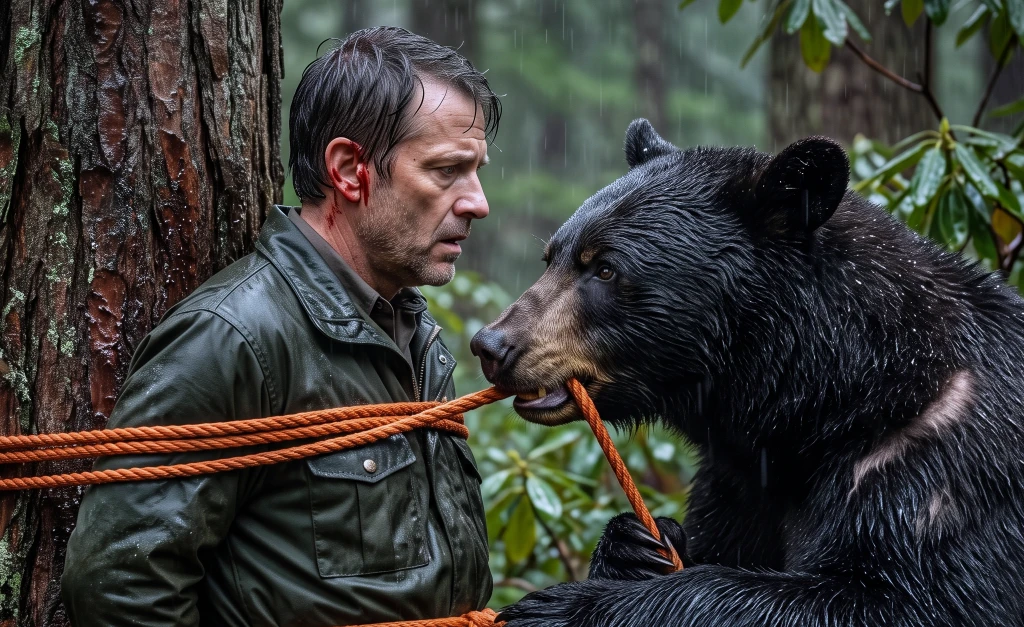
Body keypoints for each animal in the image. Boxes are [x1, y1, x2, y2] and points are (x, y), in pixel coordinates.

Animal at [469, 119, 1024, 626]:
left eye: (605, 268)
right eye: (552, 257)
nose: (491, 345)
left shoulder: (940, 470)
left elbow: (903, 600)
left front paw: (562, 607)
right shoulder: (738, 483)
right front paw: (633, 545)